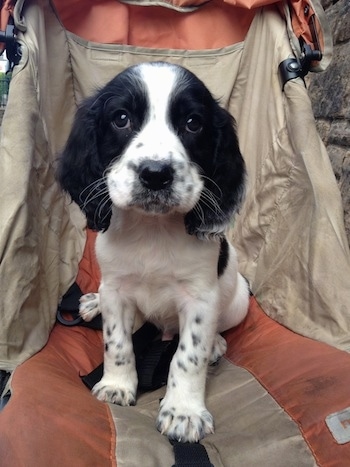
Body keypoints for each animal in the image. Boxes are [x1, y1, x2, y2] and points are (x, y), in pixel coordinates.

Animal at [57, 61, 249, 442]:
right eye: (121, 118)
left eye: (193, 123)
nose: (156, 174)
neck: (152, 230)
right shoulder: (117, 289)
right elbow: (116, 343)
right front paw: (117, 385)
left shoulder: (200, 299)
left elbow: (188, 356)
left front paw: (184, 412)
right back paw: (93, 303)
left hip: (239, 301)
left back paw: (217, 344)